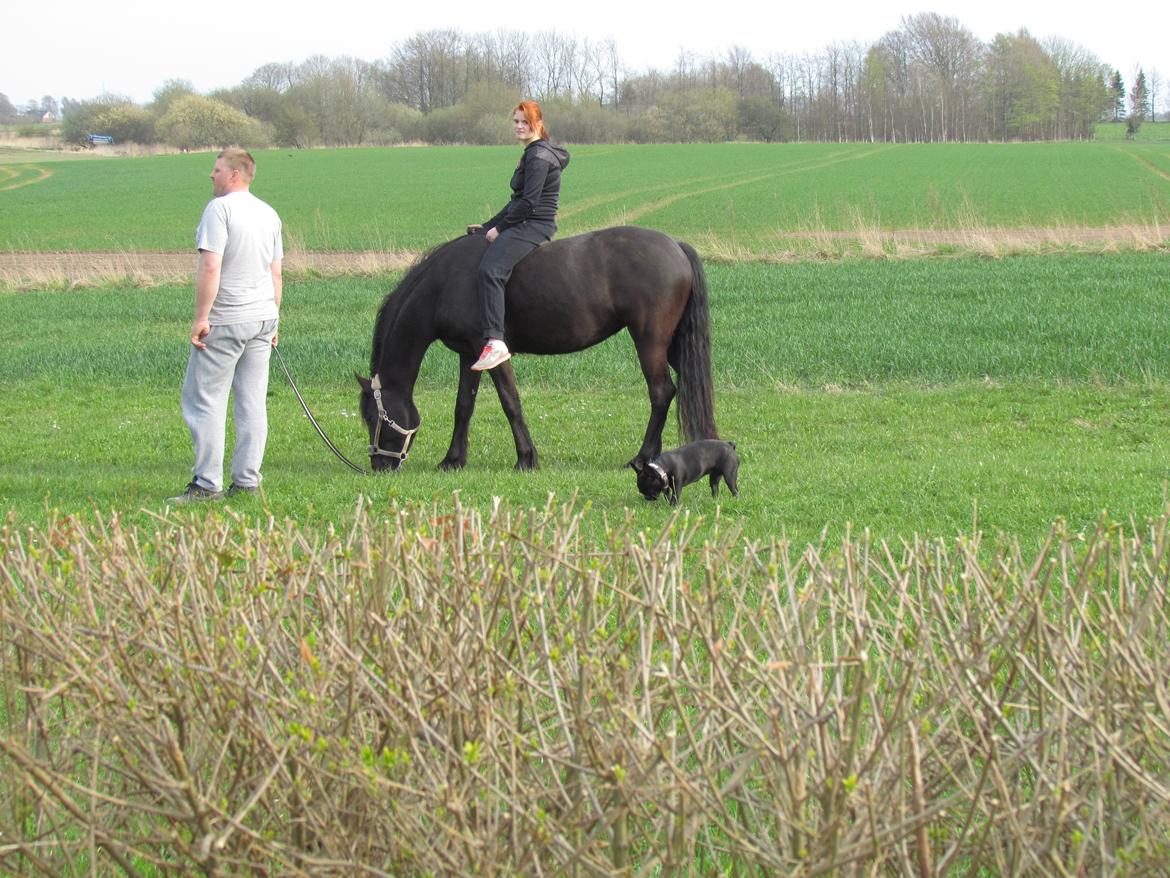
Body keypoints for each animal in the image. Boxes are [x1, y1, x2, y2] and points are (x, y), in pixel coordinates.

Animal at [355, 227, 716, 475]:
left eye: (374, 417)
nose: (379, 466)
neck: (445, 282)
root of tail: (676, 246)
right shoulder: (468, 355)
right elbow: (463, 407)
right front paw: (453, 459)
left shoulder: (492, 354)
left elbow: (510, 403)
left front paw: (526, 458)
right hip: (673, 344)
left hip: (649, 341)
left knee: (661, 392)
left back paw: (642, 457)